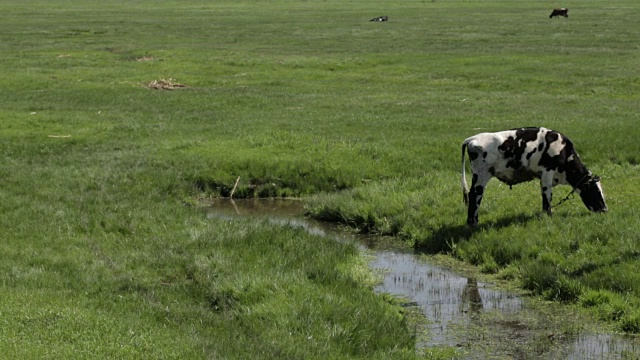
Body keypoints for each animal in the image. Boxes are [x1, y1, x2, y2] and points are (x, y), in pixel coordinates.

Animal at [462, 127, 608, 225]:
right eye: (595, 191)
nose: (605, 210)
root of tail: (472, 139)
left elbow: (545, 195)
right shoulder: (547, 172)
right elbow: (547, 195)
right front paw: (549, 215)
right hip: (481, 176)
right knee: (475, 195)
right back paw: (473, 223)